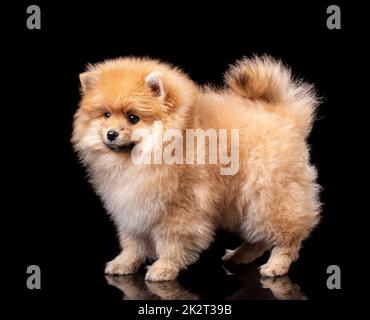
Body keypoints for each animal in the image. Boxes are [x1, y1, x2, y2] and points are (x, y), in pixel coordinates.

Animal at [72, 56, 320, 282]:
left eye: (133, 118)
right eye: (106, 115)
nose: (111, 133)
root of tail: (285, 115)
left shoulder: (179, 208)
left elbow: (171, 241)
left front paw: (164, 268)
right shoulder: (131, 205)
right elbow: (133, 242)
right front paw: (124, 263)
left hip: (269, 197)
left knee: (288, 234)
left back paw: (276, 265)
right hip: (240, 204)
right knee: (258, 237)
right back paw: (238, 256)